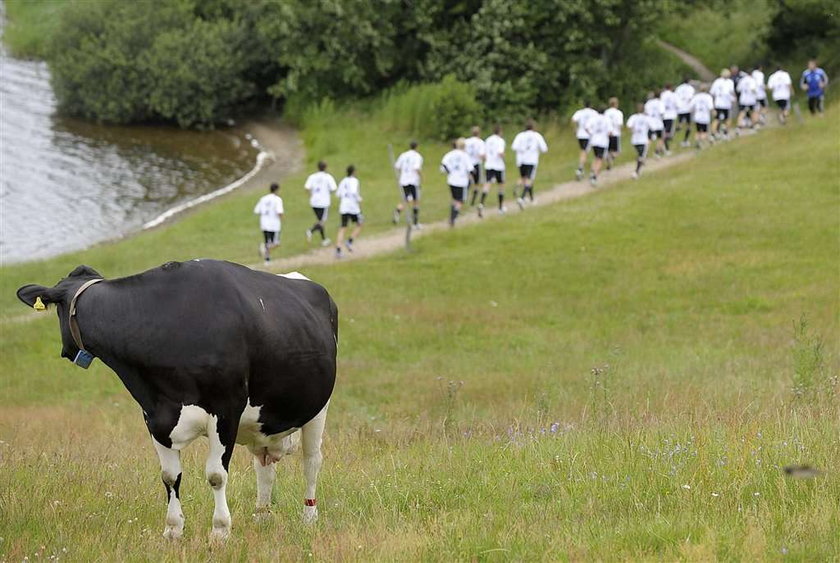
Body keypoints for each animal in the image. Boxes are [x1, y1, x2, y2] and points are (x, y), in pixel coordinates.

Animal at [17, 260, 338, 540]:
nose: (66, 351)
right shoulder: (155, 415)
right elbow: (170, 476)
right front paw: (173, 530)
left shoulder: (226, 411)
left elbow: (216, 475)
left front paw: (220, 531)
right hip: (261, 422)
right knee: (264, 465)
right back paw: (262, 516)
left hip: (318, 408)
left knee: (312, 461)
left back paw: (309, 517)